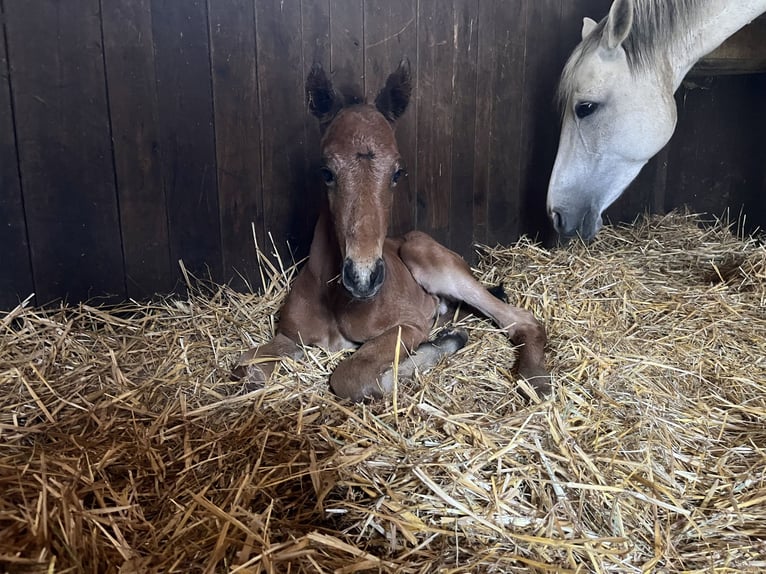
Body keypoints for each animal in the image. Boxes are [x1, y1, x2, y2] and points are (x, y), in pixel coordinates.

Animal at [233, 60, 550, 403]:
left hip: (435, 264)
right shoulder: (289, 337)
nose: (363, 277)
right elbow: (245, 370)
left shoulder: (407, 325)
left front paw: (431, 349)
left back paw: (534, 380)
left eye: (398, 172)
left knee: (520, 319)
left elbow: (353, 376)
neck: (335, 299)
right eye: (326, 172)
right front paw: (443, 341)